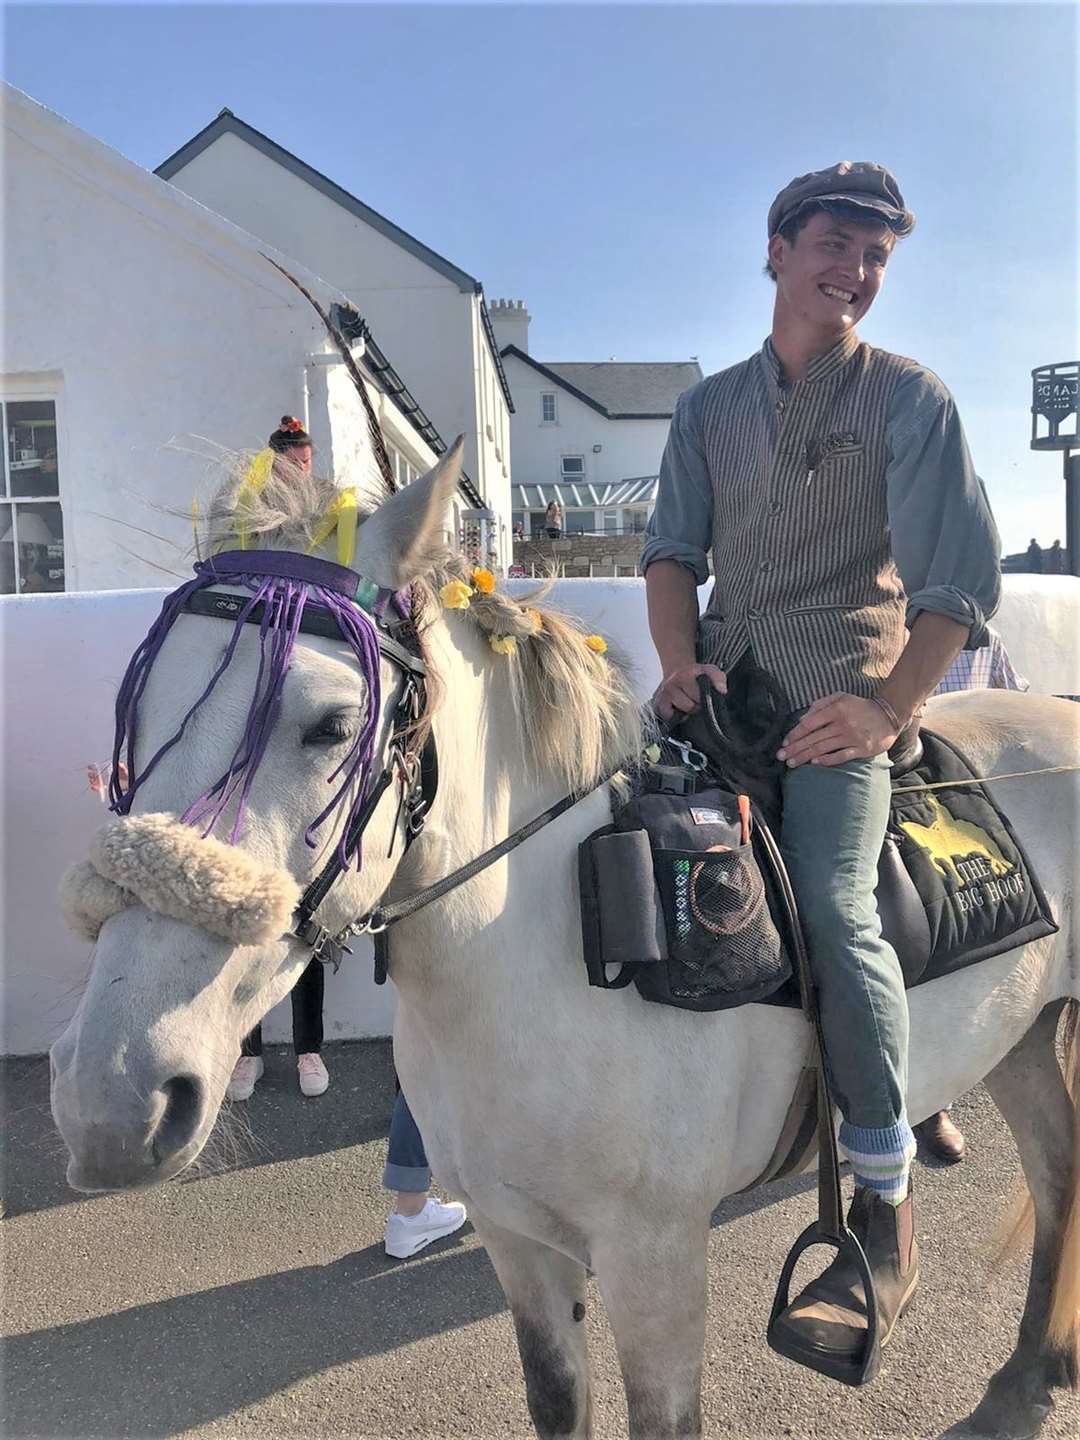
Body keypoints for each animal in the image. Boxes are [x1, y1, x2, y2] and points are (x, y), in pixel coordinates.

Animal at [50, 452, 1080, 1440]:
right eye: (137, 715)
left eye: (333, 725)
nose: (112, 1101)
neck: (541, 968)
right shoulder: (519, 1241)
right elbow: (555, 1397)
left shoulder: (656, 1262)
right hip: (1022, 1038)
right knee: (1058, 1167)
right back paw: (1026, 1380)